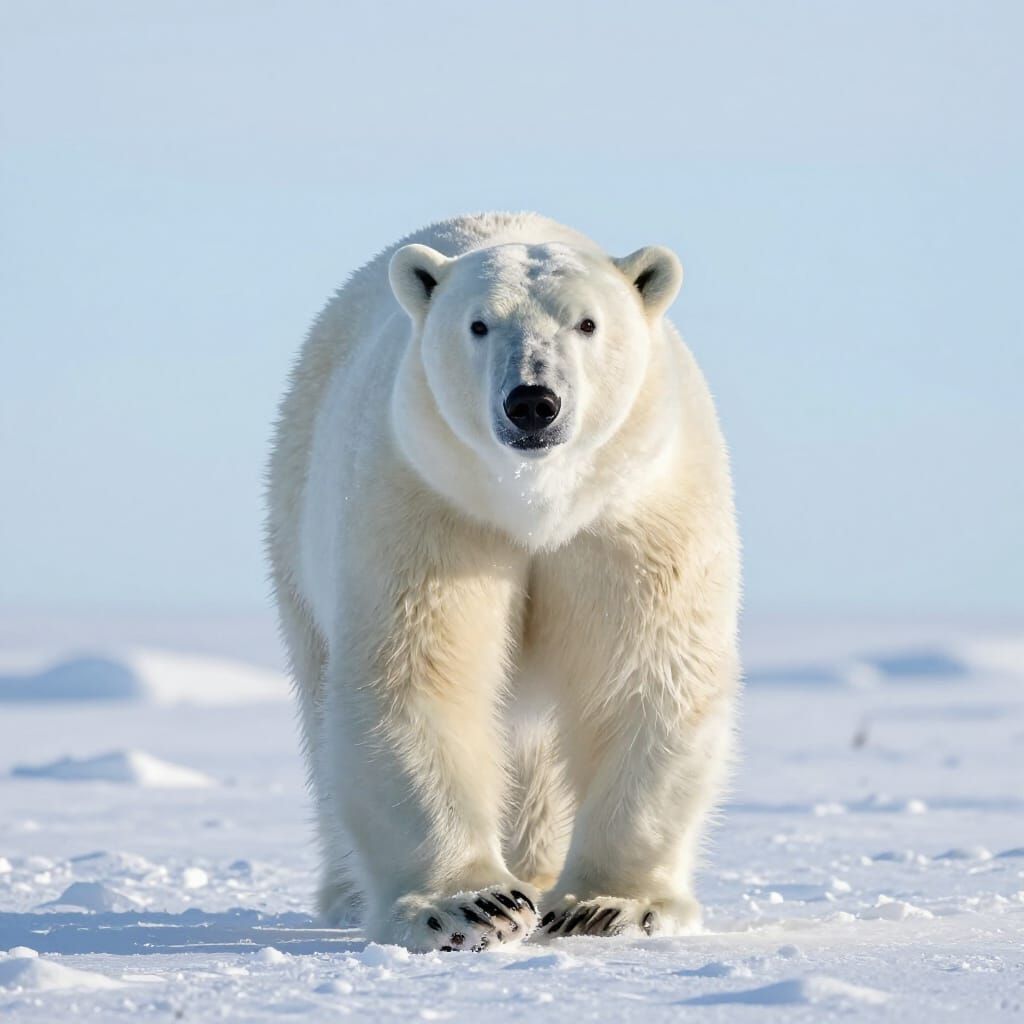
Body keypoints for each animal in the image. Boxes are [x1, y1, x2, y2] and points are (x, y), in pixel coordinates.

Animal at [265, 212, 740, 952]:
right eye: (479, 324)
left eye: (587, 322)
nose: (533, 402)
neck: (536, 504)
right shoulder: (431, 505)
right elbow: (419, 674)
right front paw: (471, 906)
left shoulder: (632, 517)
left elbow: (644, 677)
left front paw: (611, 906)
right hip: (297, 512)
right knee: (321, 697)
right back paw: (349, 894)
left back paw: (539, 873)